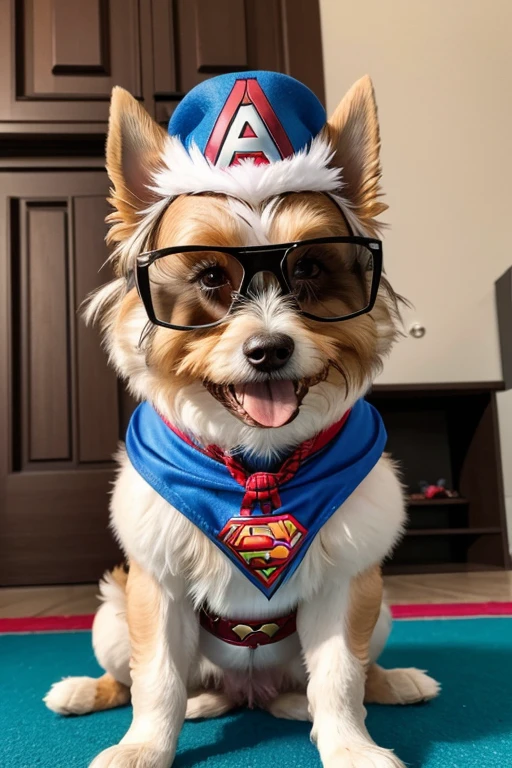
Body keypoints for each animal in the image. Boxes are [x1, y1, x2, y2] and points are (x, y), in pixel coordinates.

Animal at [45, 72, 440, 768]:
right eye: (209, 277)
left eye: (308, 268)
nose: (269, 349)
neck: (259, 460)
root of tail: (250, 692)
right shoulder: (156, 584)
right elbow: (157, 681)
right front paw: (143, 748)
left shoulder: (347, 582)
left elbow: (340, 677)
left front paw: (350, 746)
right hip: (109, 614)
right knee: (135, 677)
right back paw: (90, 692)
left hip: (381, 604)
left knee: (350, 673)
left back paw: (392, 684)